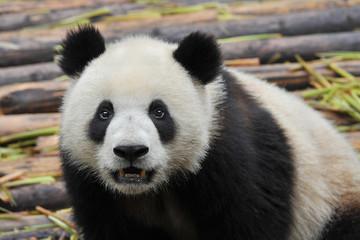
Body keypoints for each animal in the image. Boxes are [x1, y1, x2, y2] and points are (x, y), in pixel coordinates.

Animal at [57, 24, 360, 240]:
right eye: (104, 113)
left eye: (159, 112)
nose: (130, 150)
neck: (150, 189)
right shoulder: (89, 181)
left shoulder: (232, 154)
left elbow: (249, 221)